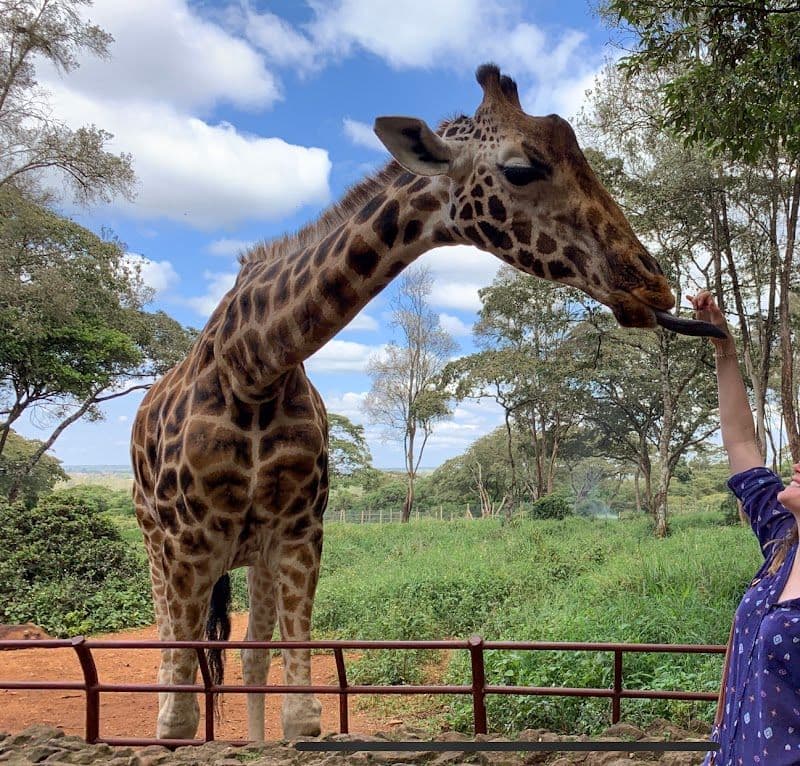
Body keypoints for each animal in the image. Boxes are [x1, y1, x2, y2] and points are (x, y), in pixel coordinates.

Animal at [130, 63, 722, 743]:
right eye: (521, 169)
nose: (653, 284)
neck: (254, 362)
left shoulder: (300, 531)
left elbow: (300, 710)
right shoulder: (188, 544)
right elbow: (176, 717)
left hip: (250, 554)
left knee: (251, 663)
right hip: (158, 545)